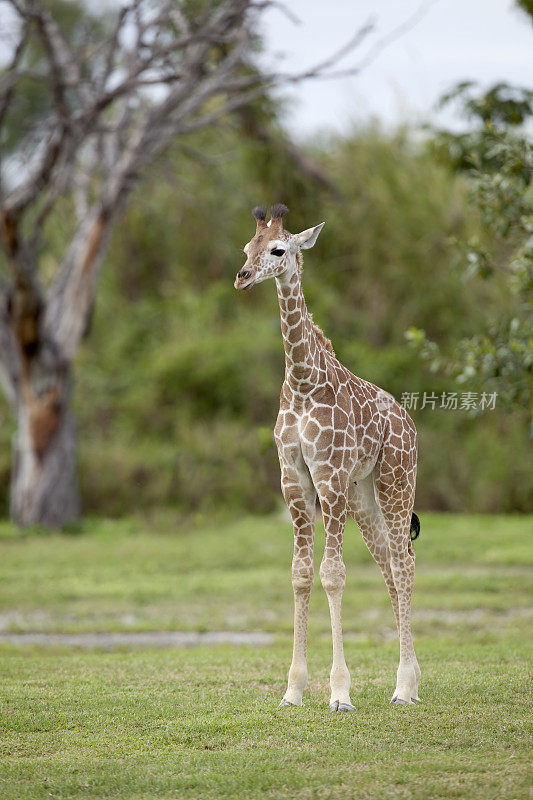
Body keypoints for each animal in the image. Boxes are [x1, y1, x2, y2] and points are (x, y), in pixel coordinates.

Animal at [233, 203, 420, 708]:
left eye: (279, 249)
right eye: (248, 247)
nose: (242, 277)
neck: (302, 383)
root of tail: (410, 424)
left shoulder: (329, 475)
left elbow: (333, 574)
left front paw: (340, 693)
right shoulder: (293, 479)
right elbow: (300, 575)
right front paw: (293, 690)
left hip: (396, 481)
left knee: (403, 564)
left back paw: (403, 687)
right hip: (363, 496)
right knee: (390, 567)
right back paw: (411, 680)